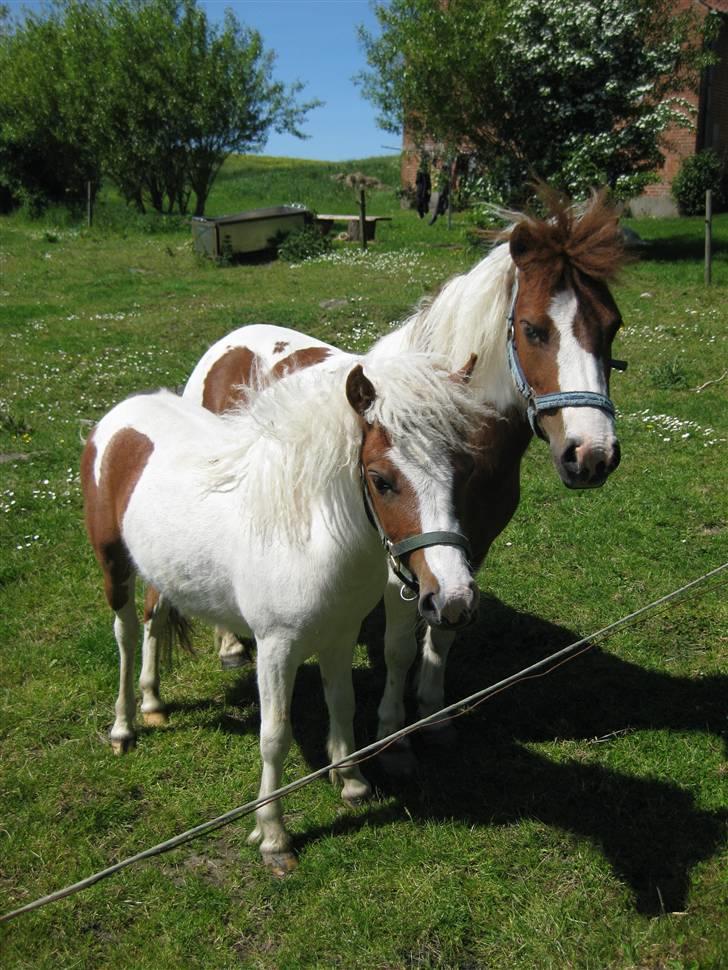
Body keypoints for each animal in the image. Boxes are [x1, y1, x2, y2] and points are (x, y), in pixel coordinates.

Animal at [82, 348, 484, 868]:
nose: (453, 599)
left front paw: (351, 782)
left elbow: (342, 703)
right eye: (381, 480)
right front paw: (273, 835)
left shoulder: (339, 636)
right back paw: (123, 728)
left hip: (158, 569)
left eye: (462, 472)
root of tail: (119, 417)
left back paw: (153, 703)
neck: (311, 536)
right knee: (127, 635)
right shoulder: (276, 649)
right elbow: (274, 737)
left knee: (153, 620)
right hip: (114, 566)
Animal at [185, 187, 628, 764]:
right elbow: (398, 648)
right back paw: (230, 645)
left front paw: (435, 718)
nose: (592, 454)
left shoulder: (466, 551)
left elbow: (443, 636)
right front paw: (392, 738)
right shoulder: (402, 557)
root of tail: (231, 344)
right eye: (534, 329)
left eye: (612, 325)